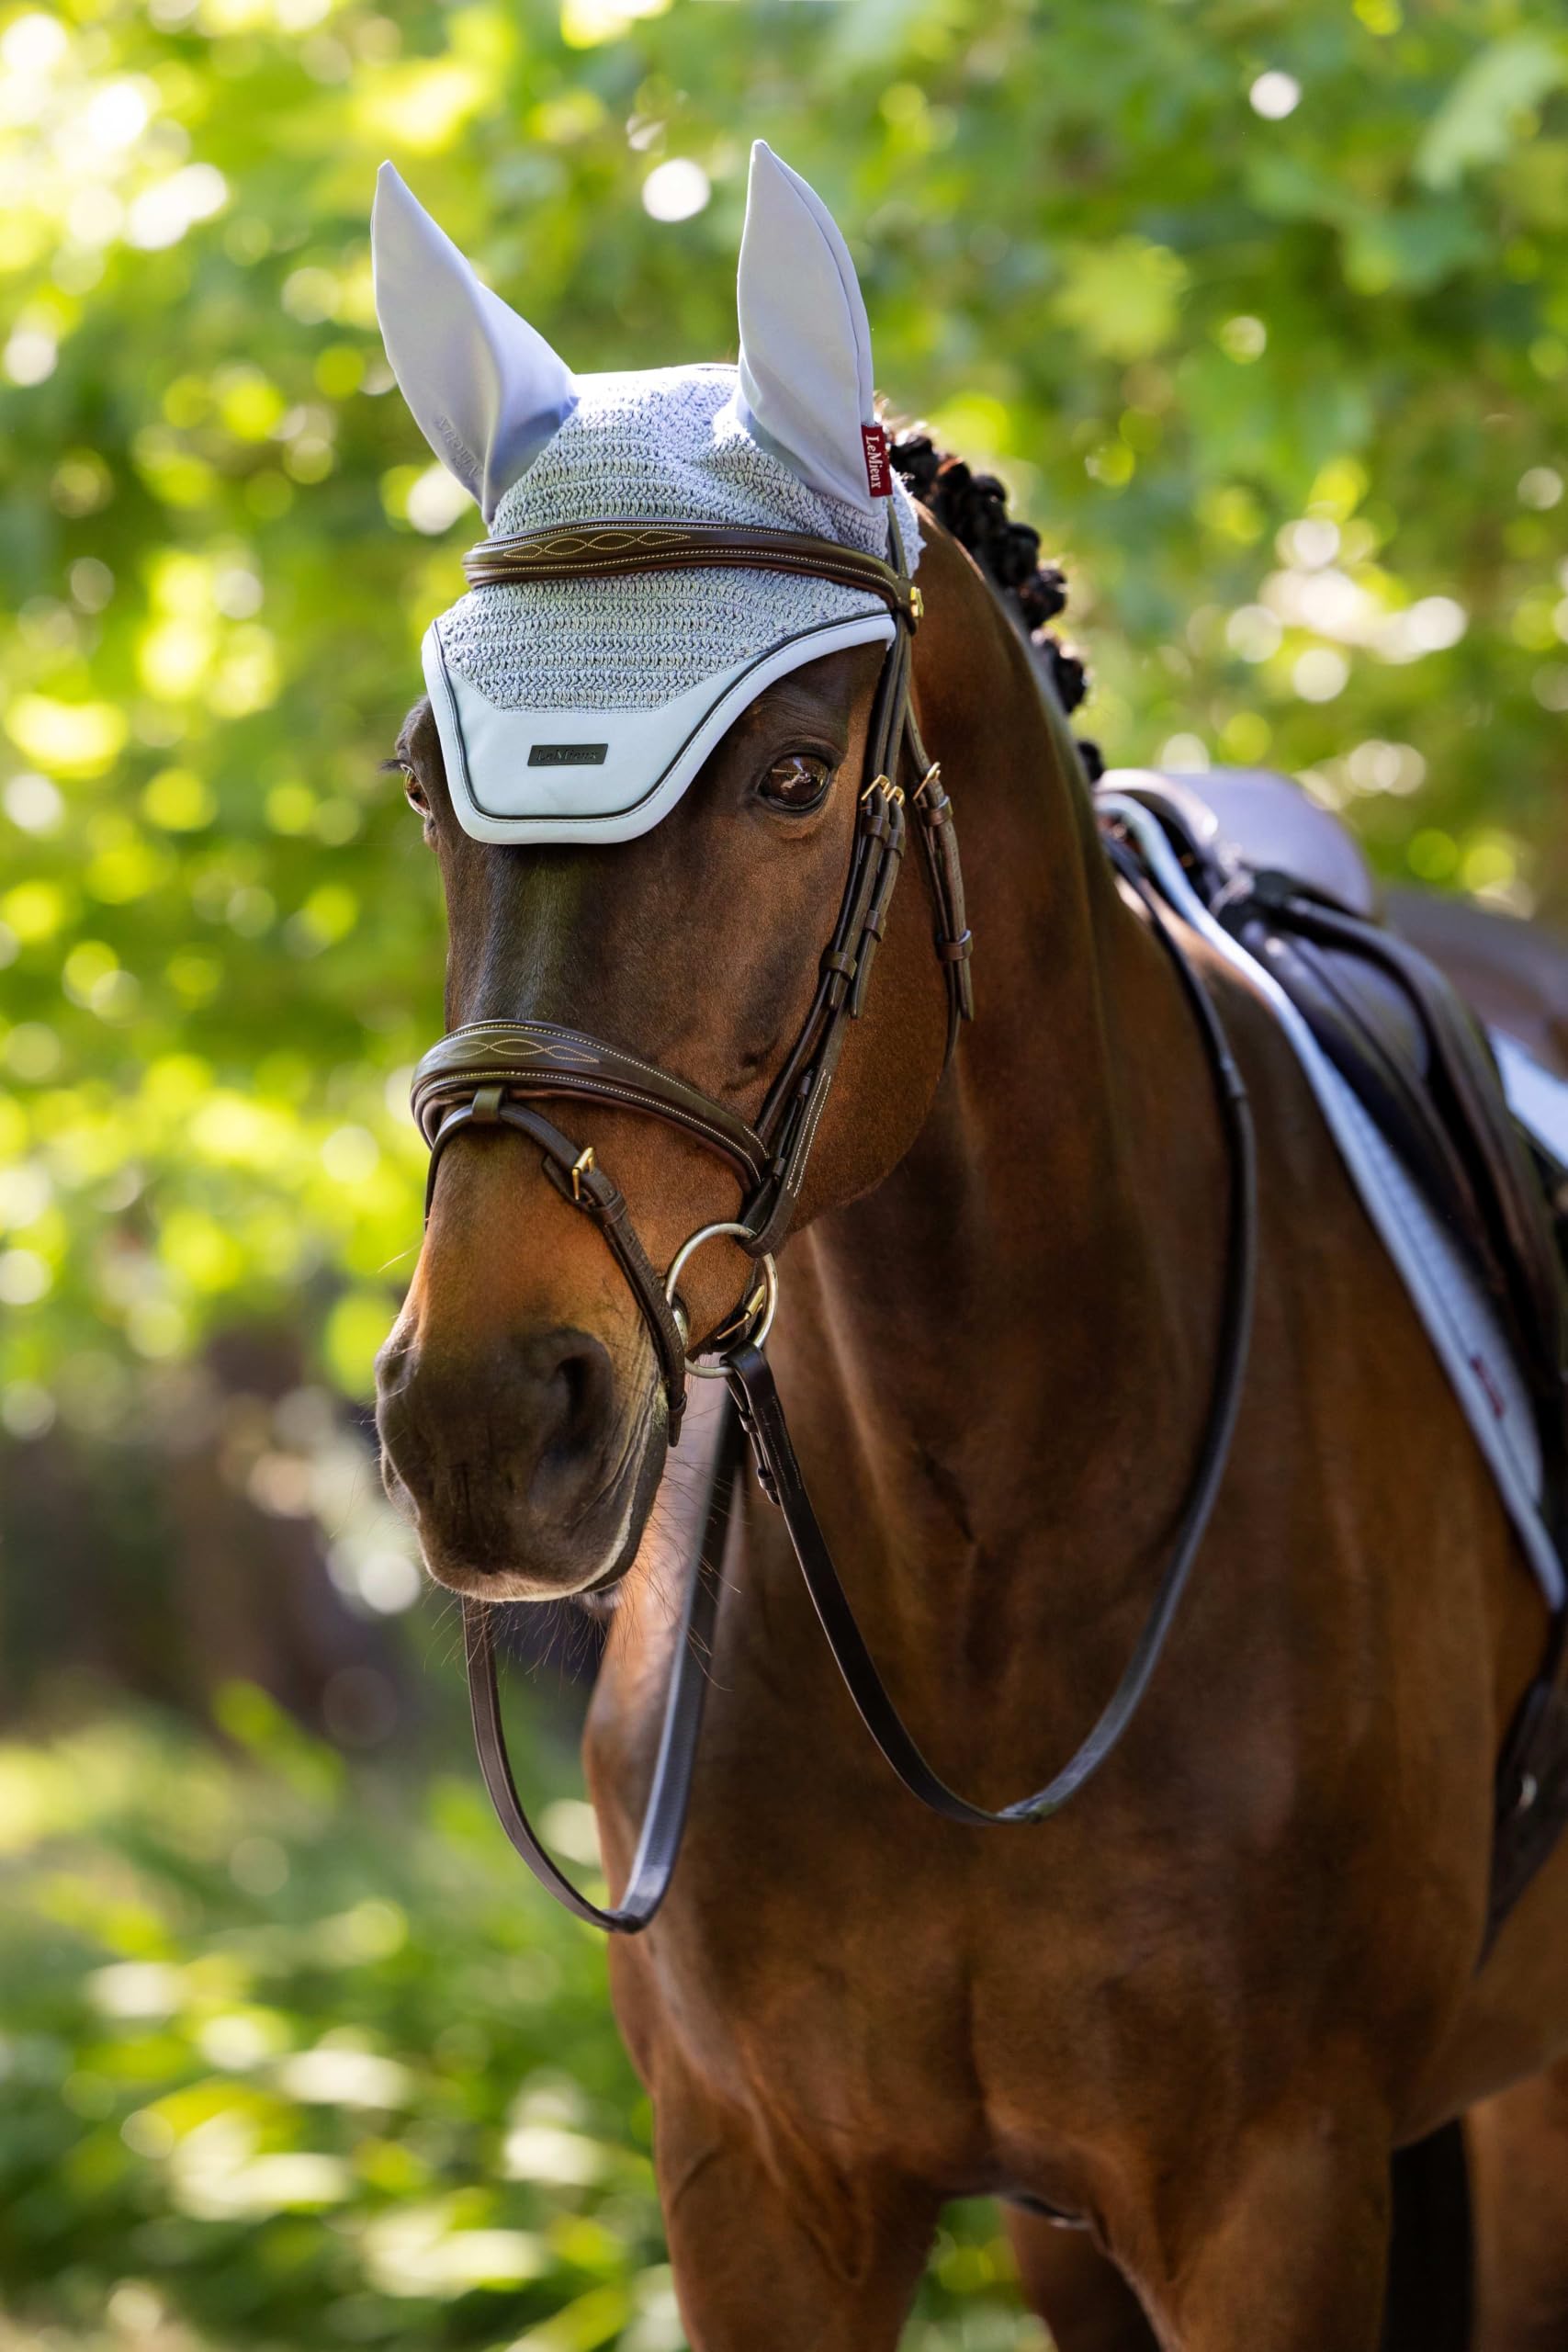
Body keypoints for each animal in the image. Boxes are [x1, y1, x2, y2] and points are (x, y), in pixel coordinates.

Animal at [369, 145, 1568, 2347]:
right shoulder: (763, 2185)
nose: (490, 1417)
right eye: (428, 787)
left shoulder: (1277, 2198)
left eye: (791, 775)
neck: (985, 1570)